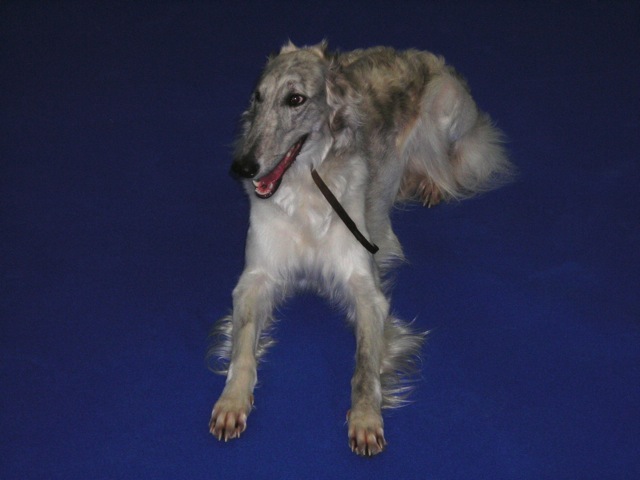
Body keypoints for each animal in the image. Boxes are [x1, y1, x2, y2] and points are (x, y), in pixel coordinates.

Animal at [208, 41, 511, 456]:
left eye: (295, 99)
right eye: (257, 97)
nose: (242, 167)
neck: (306, 188)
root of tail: (419, 54)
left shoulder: (366, 289)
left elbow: (365, 366)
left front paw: (367, 419)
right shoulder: (255, 278)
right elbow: (242, 348)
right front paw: (231, 401)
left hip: (443, 101)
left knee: (452, 162)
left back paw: (430, 182)